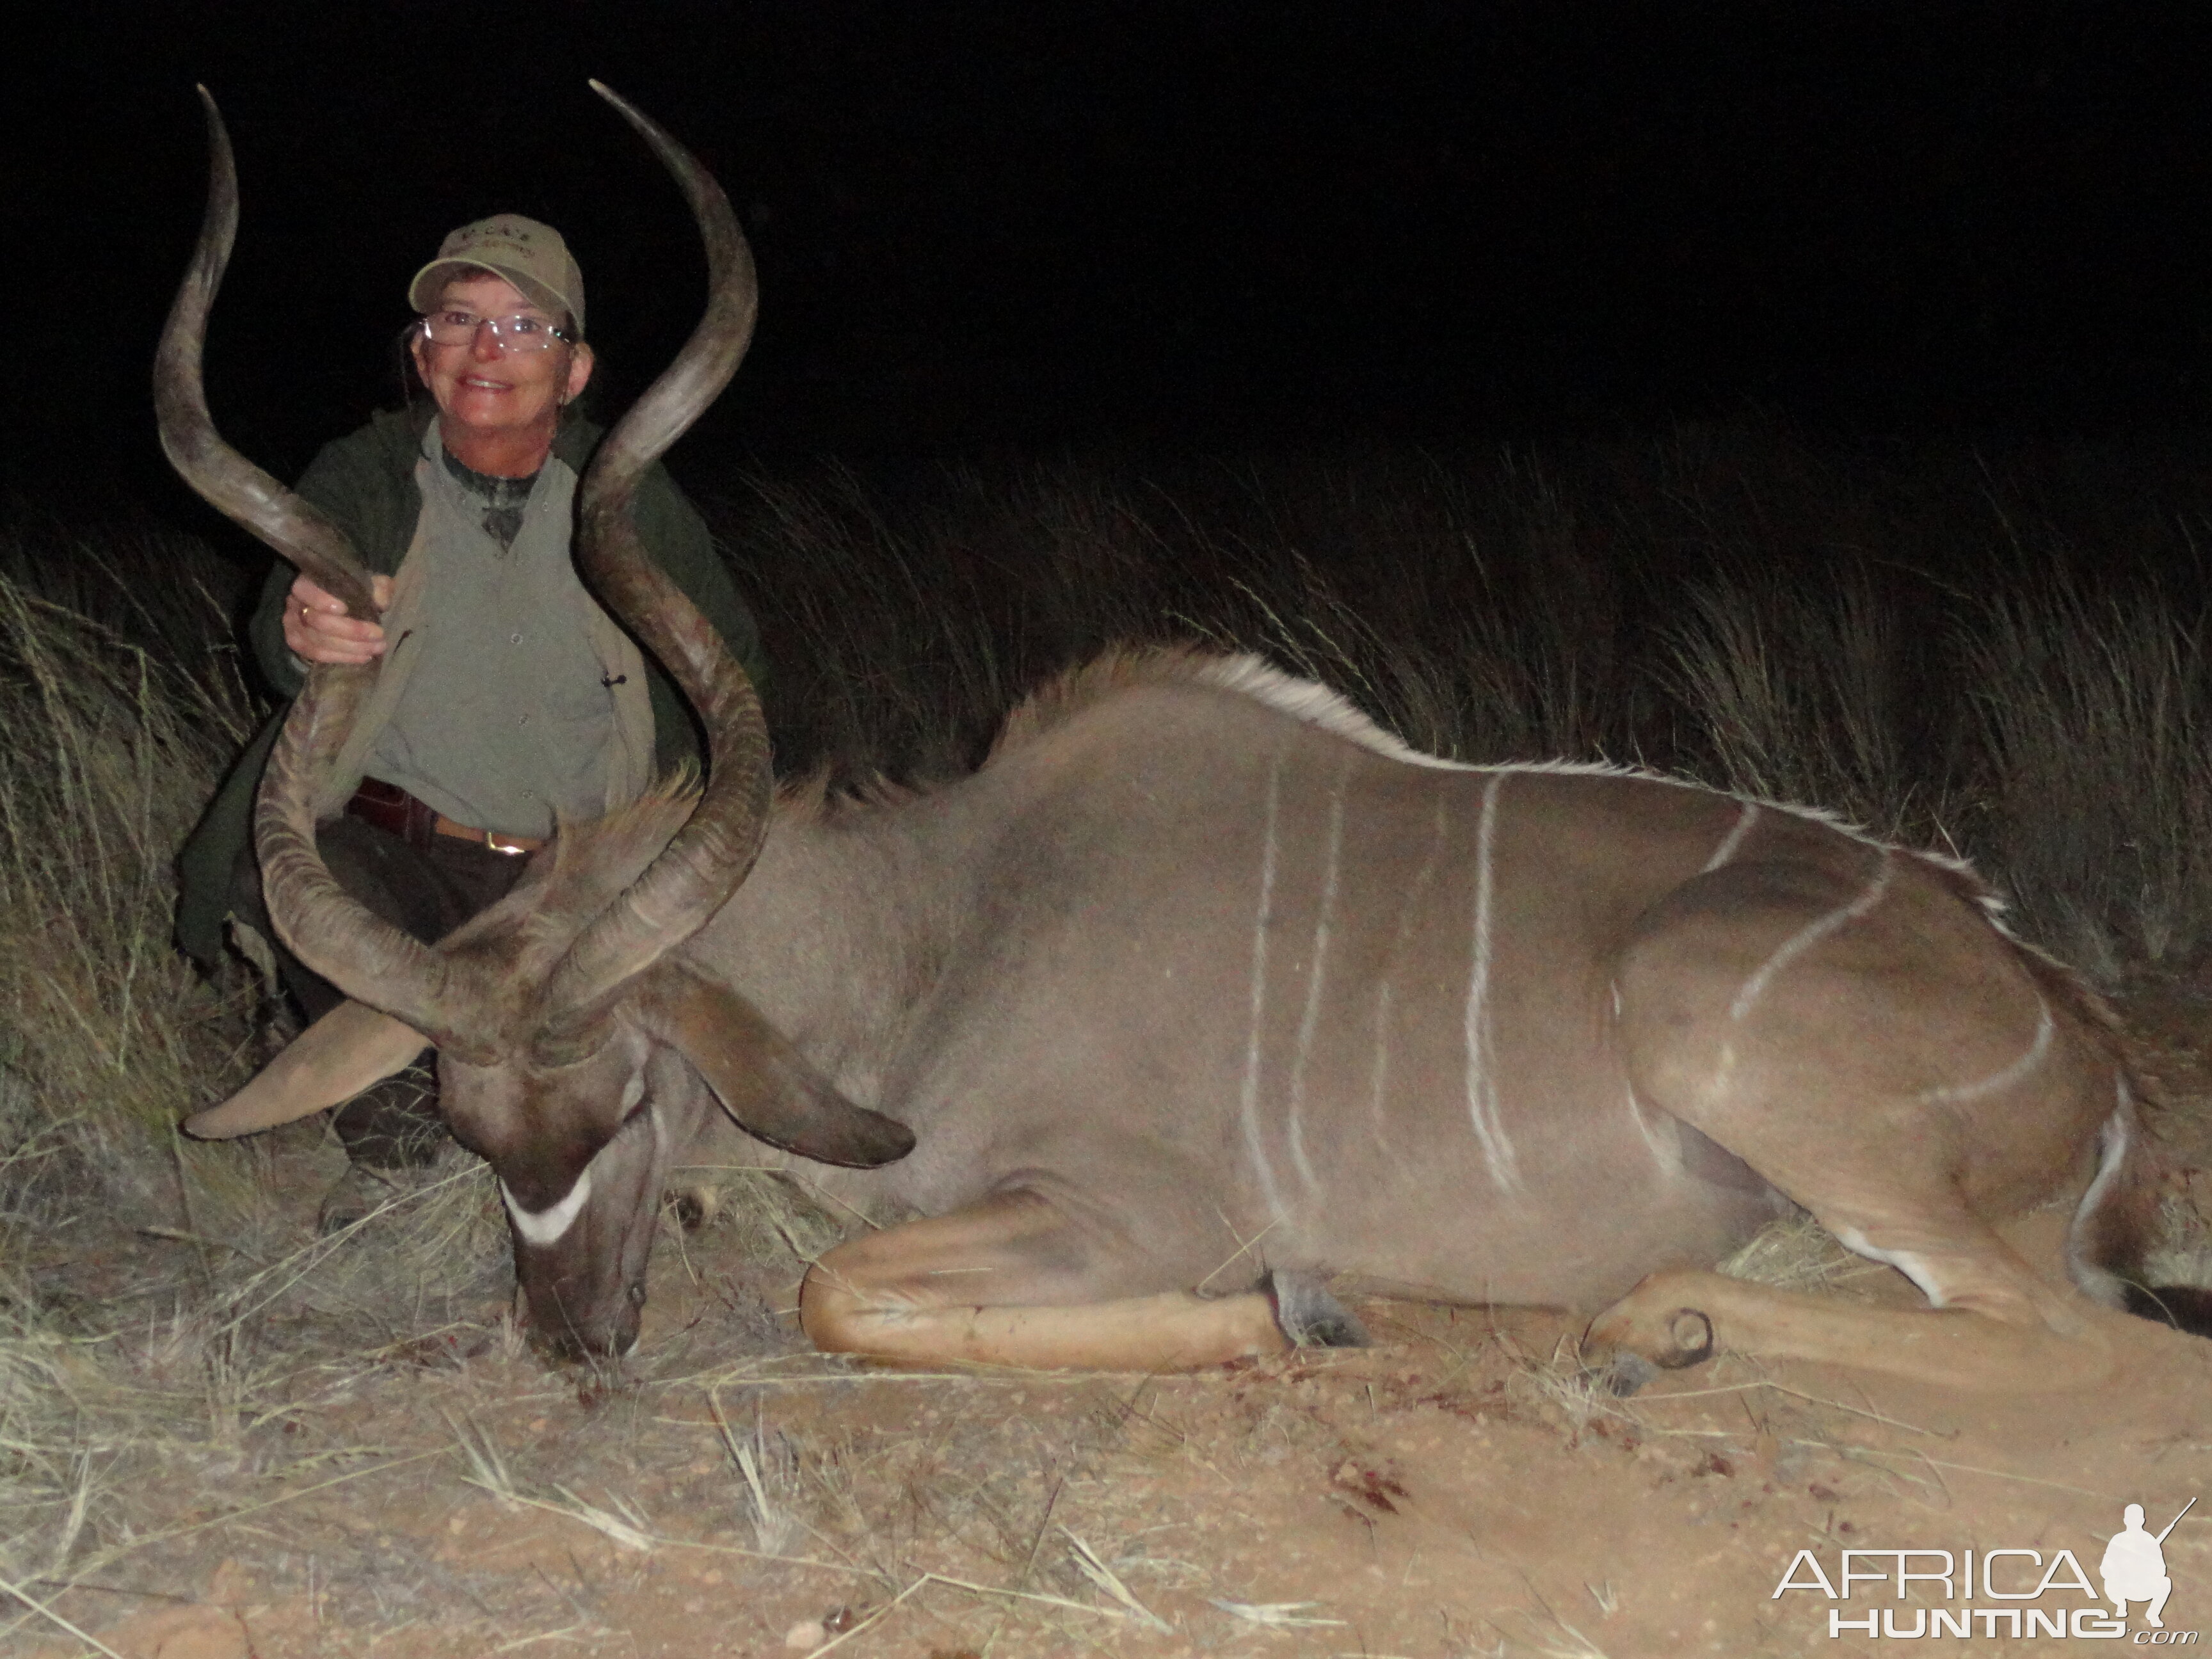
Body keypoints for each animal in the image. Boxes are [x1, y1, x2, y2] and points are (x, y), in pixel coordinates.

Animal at [163, 88, 2203, 1389]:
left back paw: (1652, 1326)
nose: (576, 1348)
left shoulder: (1126, 1207)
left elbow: (844, 1287)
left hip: (1734, 1046)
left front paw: (1295, 1315)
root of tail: (2078, 1040)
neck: (944, 933)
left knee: (2061, 1335)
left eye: (628, 1101)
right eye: (466, 1124)